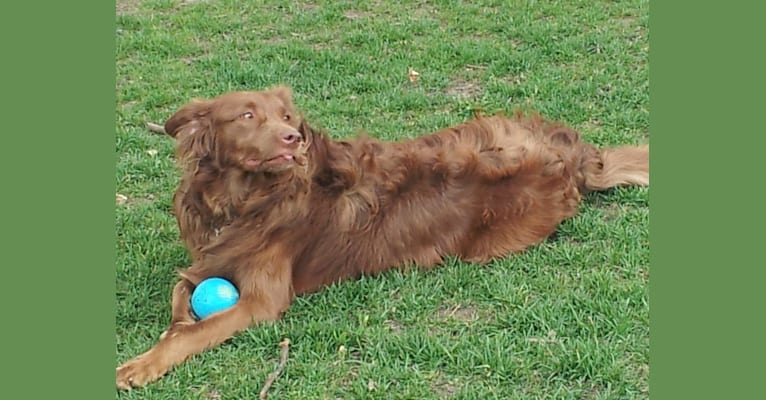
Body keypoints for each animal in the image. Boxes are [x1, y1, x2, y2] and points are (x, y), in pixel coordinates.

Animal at [117, 86, 652, 390]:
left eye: (287, 118)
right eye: (247, 116)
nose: (294, 139)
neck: (243, 200)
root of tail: (575, 156)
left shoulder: (262, 302)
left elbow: (196, 329)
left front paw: (143, 363)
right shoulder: (204, 257)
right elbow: (181, 297)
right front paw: (175, 324)